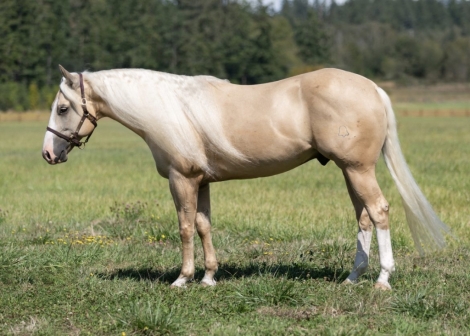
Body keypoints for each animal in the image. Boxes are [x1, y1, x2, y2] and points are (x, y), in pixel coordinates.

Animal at [43, 65, 448, 288]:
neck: (169, 110)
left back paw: (382, 280)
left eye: (62, 108)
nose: (48, 154)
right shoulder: (201, 181)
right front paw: (209, 277)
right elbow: (204, 225)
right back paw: (352, 278)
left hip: (358, 169)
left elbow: (185, 227)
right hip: (350, 171)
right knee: (363, 217)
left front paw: (182, 279)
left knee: (379, 212)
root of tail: (374, 89)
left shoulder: (181, 179)